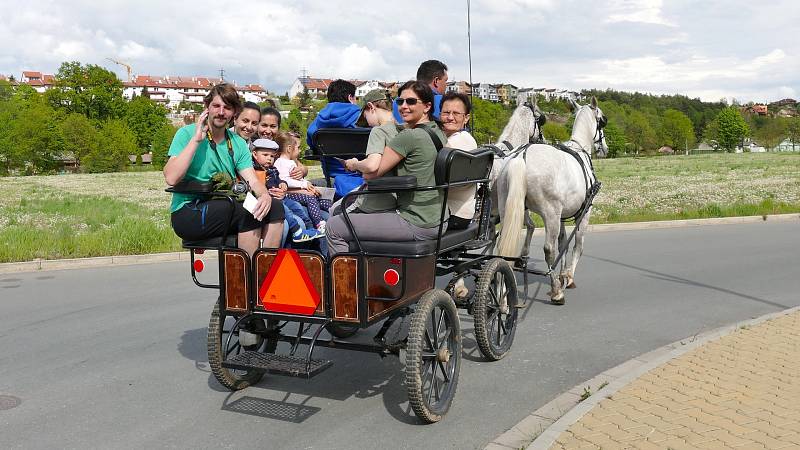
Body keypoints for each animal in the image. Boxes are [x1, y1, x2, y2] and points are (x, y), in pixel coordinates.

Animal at [494, 96, 608, 304]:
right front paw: (568, 277)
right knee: (549, 249)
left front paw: (563, 274)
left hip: (509, 210)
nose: (605, 148)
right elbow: (577, 245)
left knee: (501, 250)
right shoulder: (584, 212)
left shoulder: (563, 216)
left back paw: (503, 300)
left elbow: (563, 242)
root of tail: (521, 156)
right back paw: (556, 291)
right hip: (550, 214)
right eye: (602, 120)